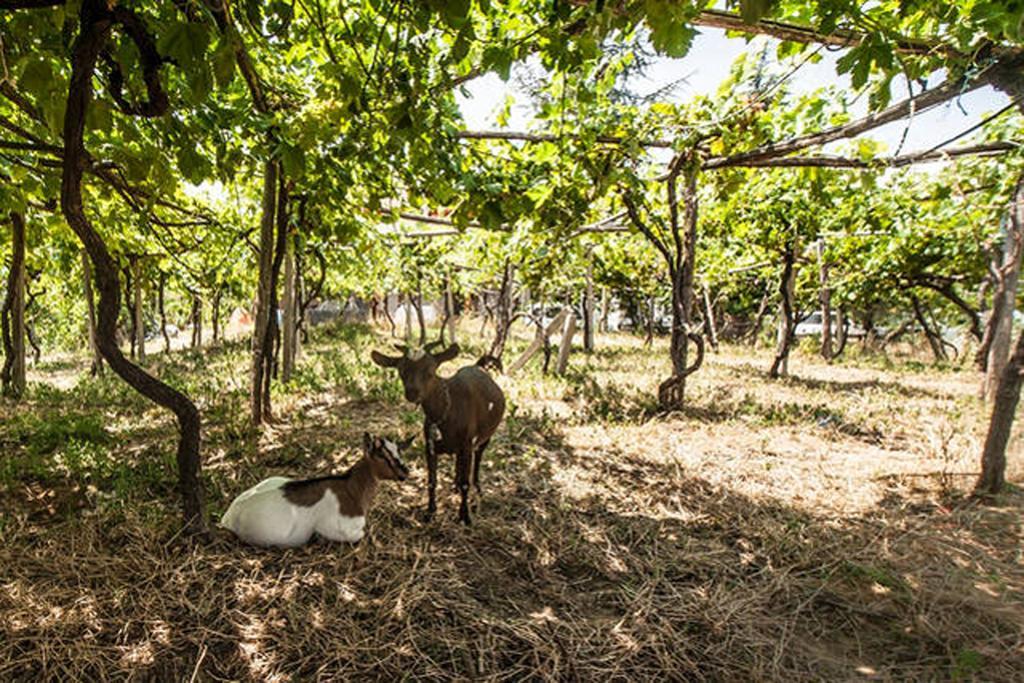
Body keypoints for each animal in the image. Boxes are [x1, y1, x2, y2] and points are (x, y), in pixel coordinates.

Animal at [219, 436, 407, 548]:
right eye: (382, 456)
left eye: (398, 451)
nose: (405, 472)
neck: (351, 488)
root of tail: (229, 516)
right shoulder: (341, 529)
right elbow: (360, 534)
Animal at [374, 344, 505, 528]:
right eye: (401, 371)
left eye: (430, 371)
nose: (412, 393)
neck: (448, 409)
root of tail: (479, 366)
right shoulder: (430, 447)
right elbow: (432, 481)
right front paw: (430, 512)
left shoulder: (467, 445)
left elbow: (466, 483)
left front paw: (465, 516)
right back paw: (455, 485)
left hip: (485, 438)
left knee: (478, 457)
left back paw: (477, 490)